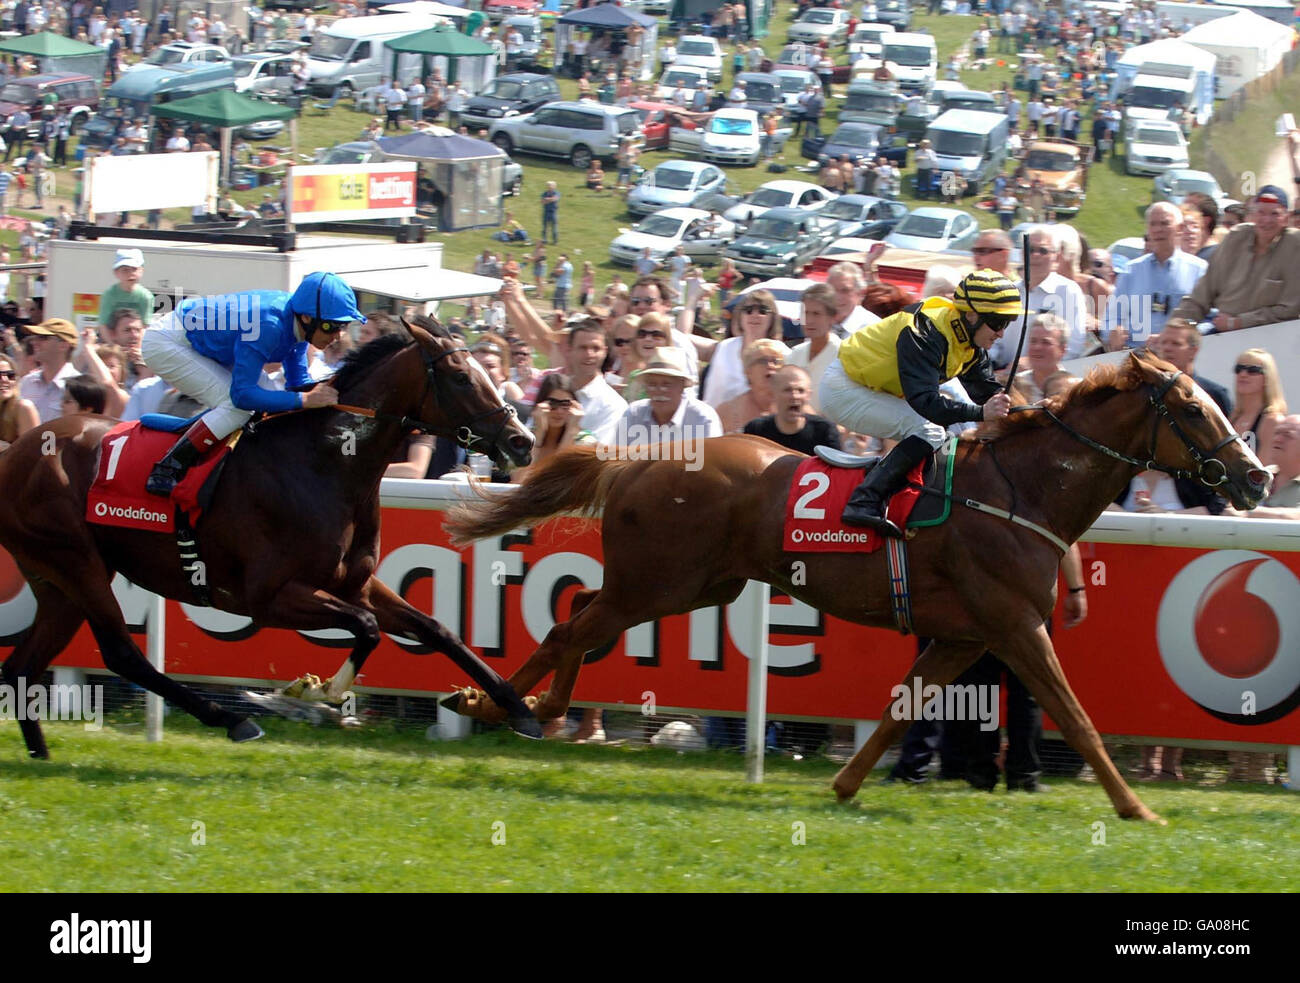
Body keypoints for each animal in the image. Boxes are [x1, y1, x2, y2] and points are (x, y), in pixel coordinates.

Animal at [0, 314, 543, 759]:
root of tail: (17, 450)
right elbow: (367, 628)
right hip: (77, 563)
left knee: (24, 666)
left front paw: (519, 709)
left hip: (58, 580)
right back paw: (233, 720)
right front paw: (316, 692)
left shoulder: (355, 583)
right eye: (461, 378)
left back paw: (41, 754)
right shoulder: (268, 597)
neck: (326, 463)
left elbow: (438, 630)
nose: (523, 440)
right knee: (121, 654)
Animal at [444, 353, 1268, 821]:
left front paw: (844, 785)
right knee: (570, 628)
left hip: (691, 585)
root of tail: (641, 457)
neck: (1021, 489)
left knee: (583, 620)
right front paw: (1137, 808)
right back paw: (494, 702)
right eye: (1191, 408)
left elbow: (902, 711)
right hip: (658, 582)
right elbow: (1078, 718)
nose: (1258, 475)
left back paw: (534, 707)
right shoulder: (1015, 627)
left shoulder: (965, 636)